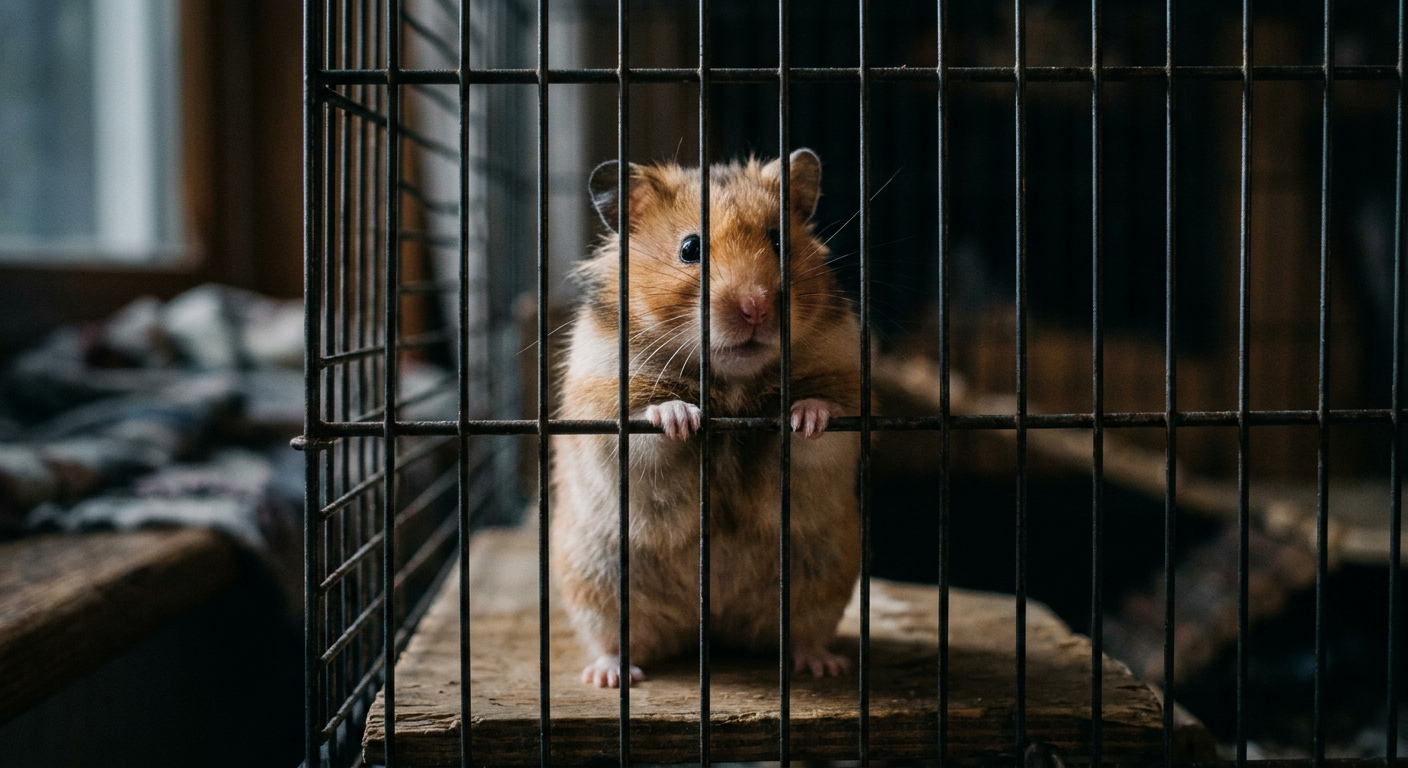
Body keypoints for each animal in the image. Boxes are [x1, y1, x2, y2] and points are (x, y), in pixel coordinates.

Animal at [550, 149, 861, 688]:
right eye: (690, 248)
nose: (755, 307)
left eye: (778, 239)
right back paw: (610, 677)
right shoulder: (603, 410)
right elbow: (647, 427)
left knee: (804, 634)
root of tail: (711, 628)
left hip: (823, 574)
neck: (731, 386)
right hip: (597, 578)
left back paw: (824, 666)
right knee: (616, 640)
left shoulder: (846, 396)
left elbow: (822, 428)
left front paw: (806, 416)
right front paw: (680, 416)